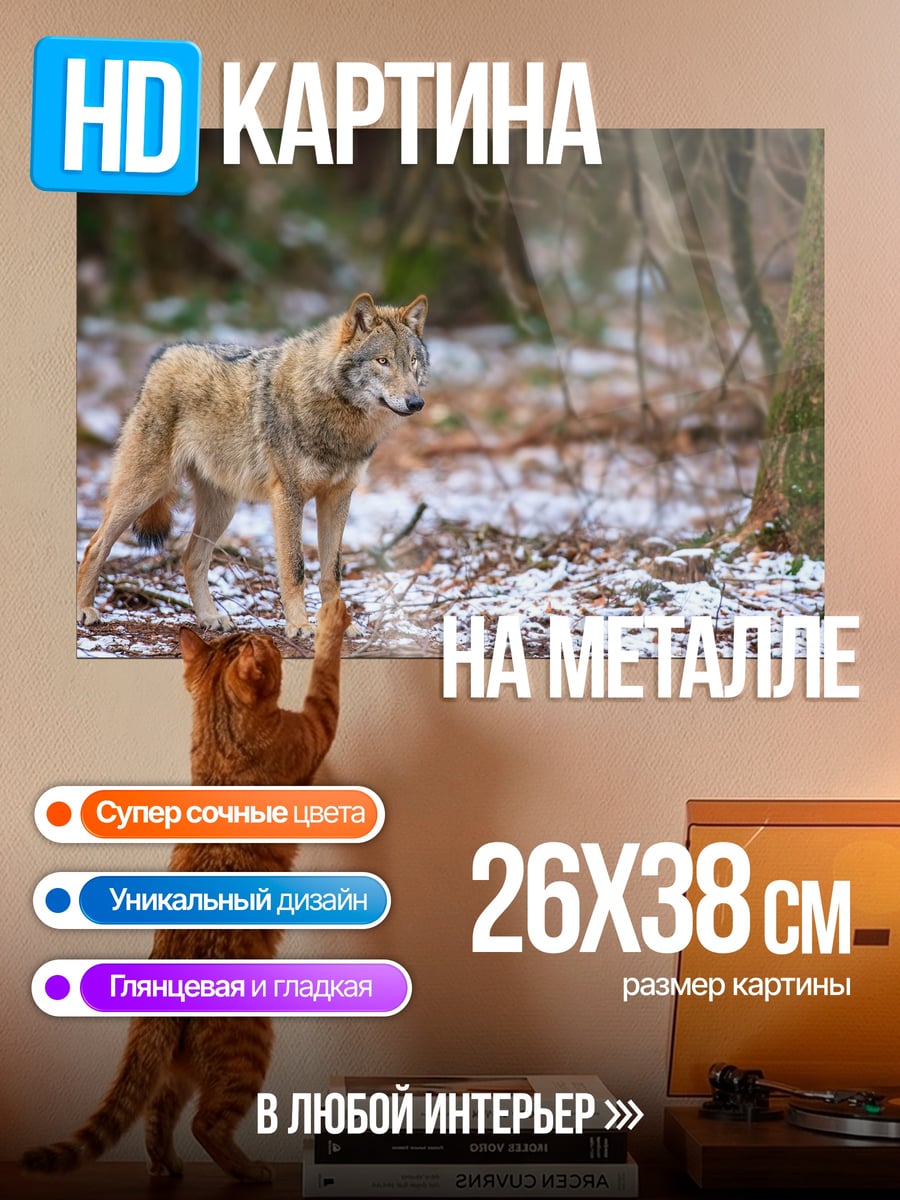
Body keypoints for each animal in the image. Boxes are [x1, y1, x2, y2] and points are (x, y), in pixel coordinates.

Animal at [76, 293, 428, 637]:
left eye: (412, 361)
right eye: (382, 361)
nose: (416, 403)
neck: (338, 415)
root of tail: (165, 354)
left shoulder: (338, 497)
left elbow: (332, 572)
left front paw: (338, 627)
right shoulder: (288, 496)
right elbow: (295, 568)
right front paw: (300, 626)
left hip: (222, 508)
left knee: (191, 559)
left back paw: (210, 618)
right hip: (146, 489)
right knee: (95, 545)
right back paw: (84, 609)